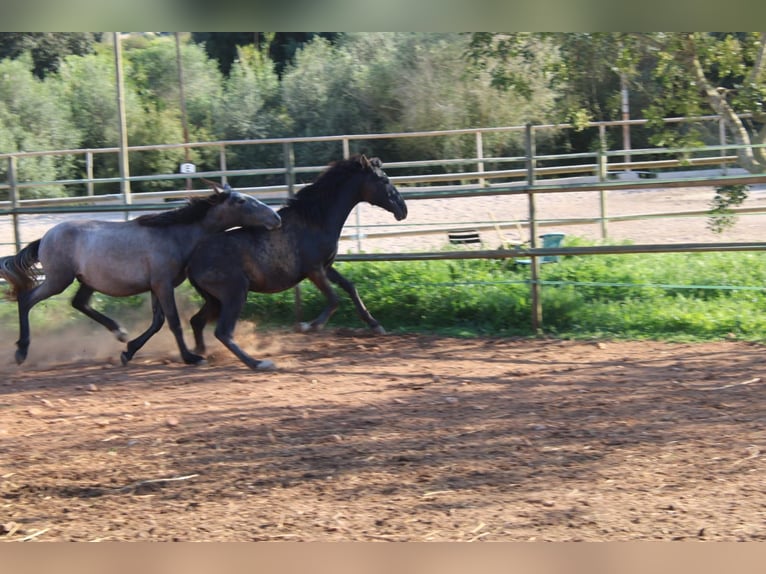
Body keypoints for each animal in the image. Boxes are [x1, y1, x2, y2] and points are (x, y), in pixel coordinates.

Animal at [0, 182, 282, 366]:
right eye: (241, 201)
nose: (276, 218)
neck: (175, 235)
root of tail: (46, 237)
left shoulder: (156, 286)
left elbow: (157, 322)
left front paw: (128, 351)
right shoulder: (163, 283)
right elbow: (173, 322)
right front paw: (191, 357)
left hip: (86, 281)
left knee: (78, 303)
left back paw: (119, 332)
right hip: (59, 279)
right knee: (27, 300)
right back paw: (21, 352)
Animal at [183, 154, 408, 370]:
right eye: (384, 180)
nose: (403, 210)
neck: (315, 221)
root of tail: (192, 262)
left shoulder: (326, 267)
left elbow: (350, 287)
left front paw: (375, 324)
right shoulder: (314, 270)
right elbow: (335, 299)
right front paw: (309, 326)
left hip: (215, 300)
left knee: (197, 321)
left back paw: (198, 355)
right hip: (235, 294)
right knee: (223, 332)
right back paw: (258, 363)